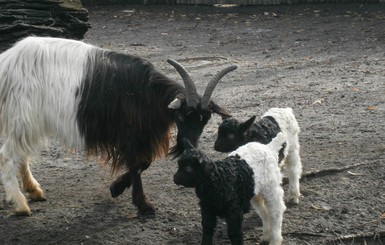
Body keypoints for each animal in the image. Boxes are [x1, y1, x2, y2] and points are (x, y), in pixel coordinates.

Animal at [0, 36, 236, 216]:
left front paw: (116, 188)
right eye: (181, 116)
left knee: (21, 155)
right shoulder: (130, 135)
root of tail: (7, 62)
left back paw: (34, 191)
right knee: (8, 156)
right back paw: (21, 205)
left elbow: (143, 163)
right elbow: (137, 164)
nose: (189, 144)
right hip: (22, 118)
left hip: (29, 123)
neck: (144, 93)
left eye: (205, 120)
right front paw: (143, 205)